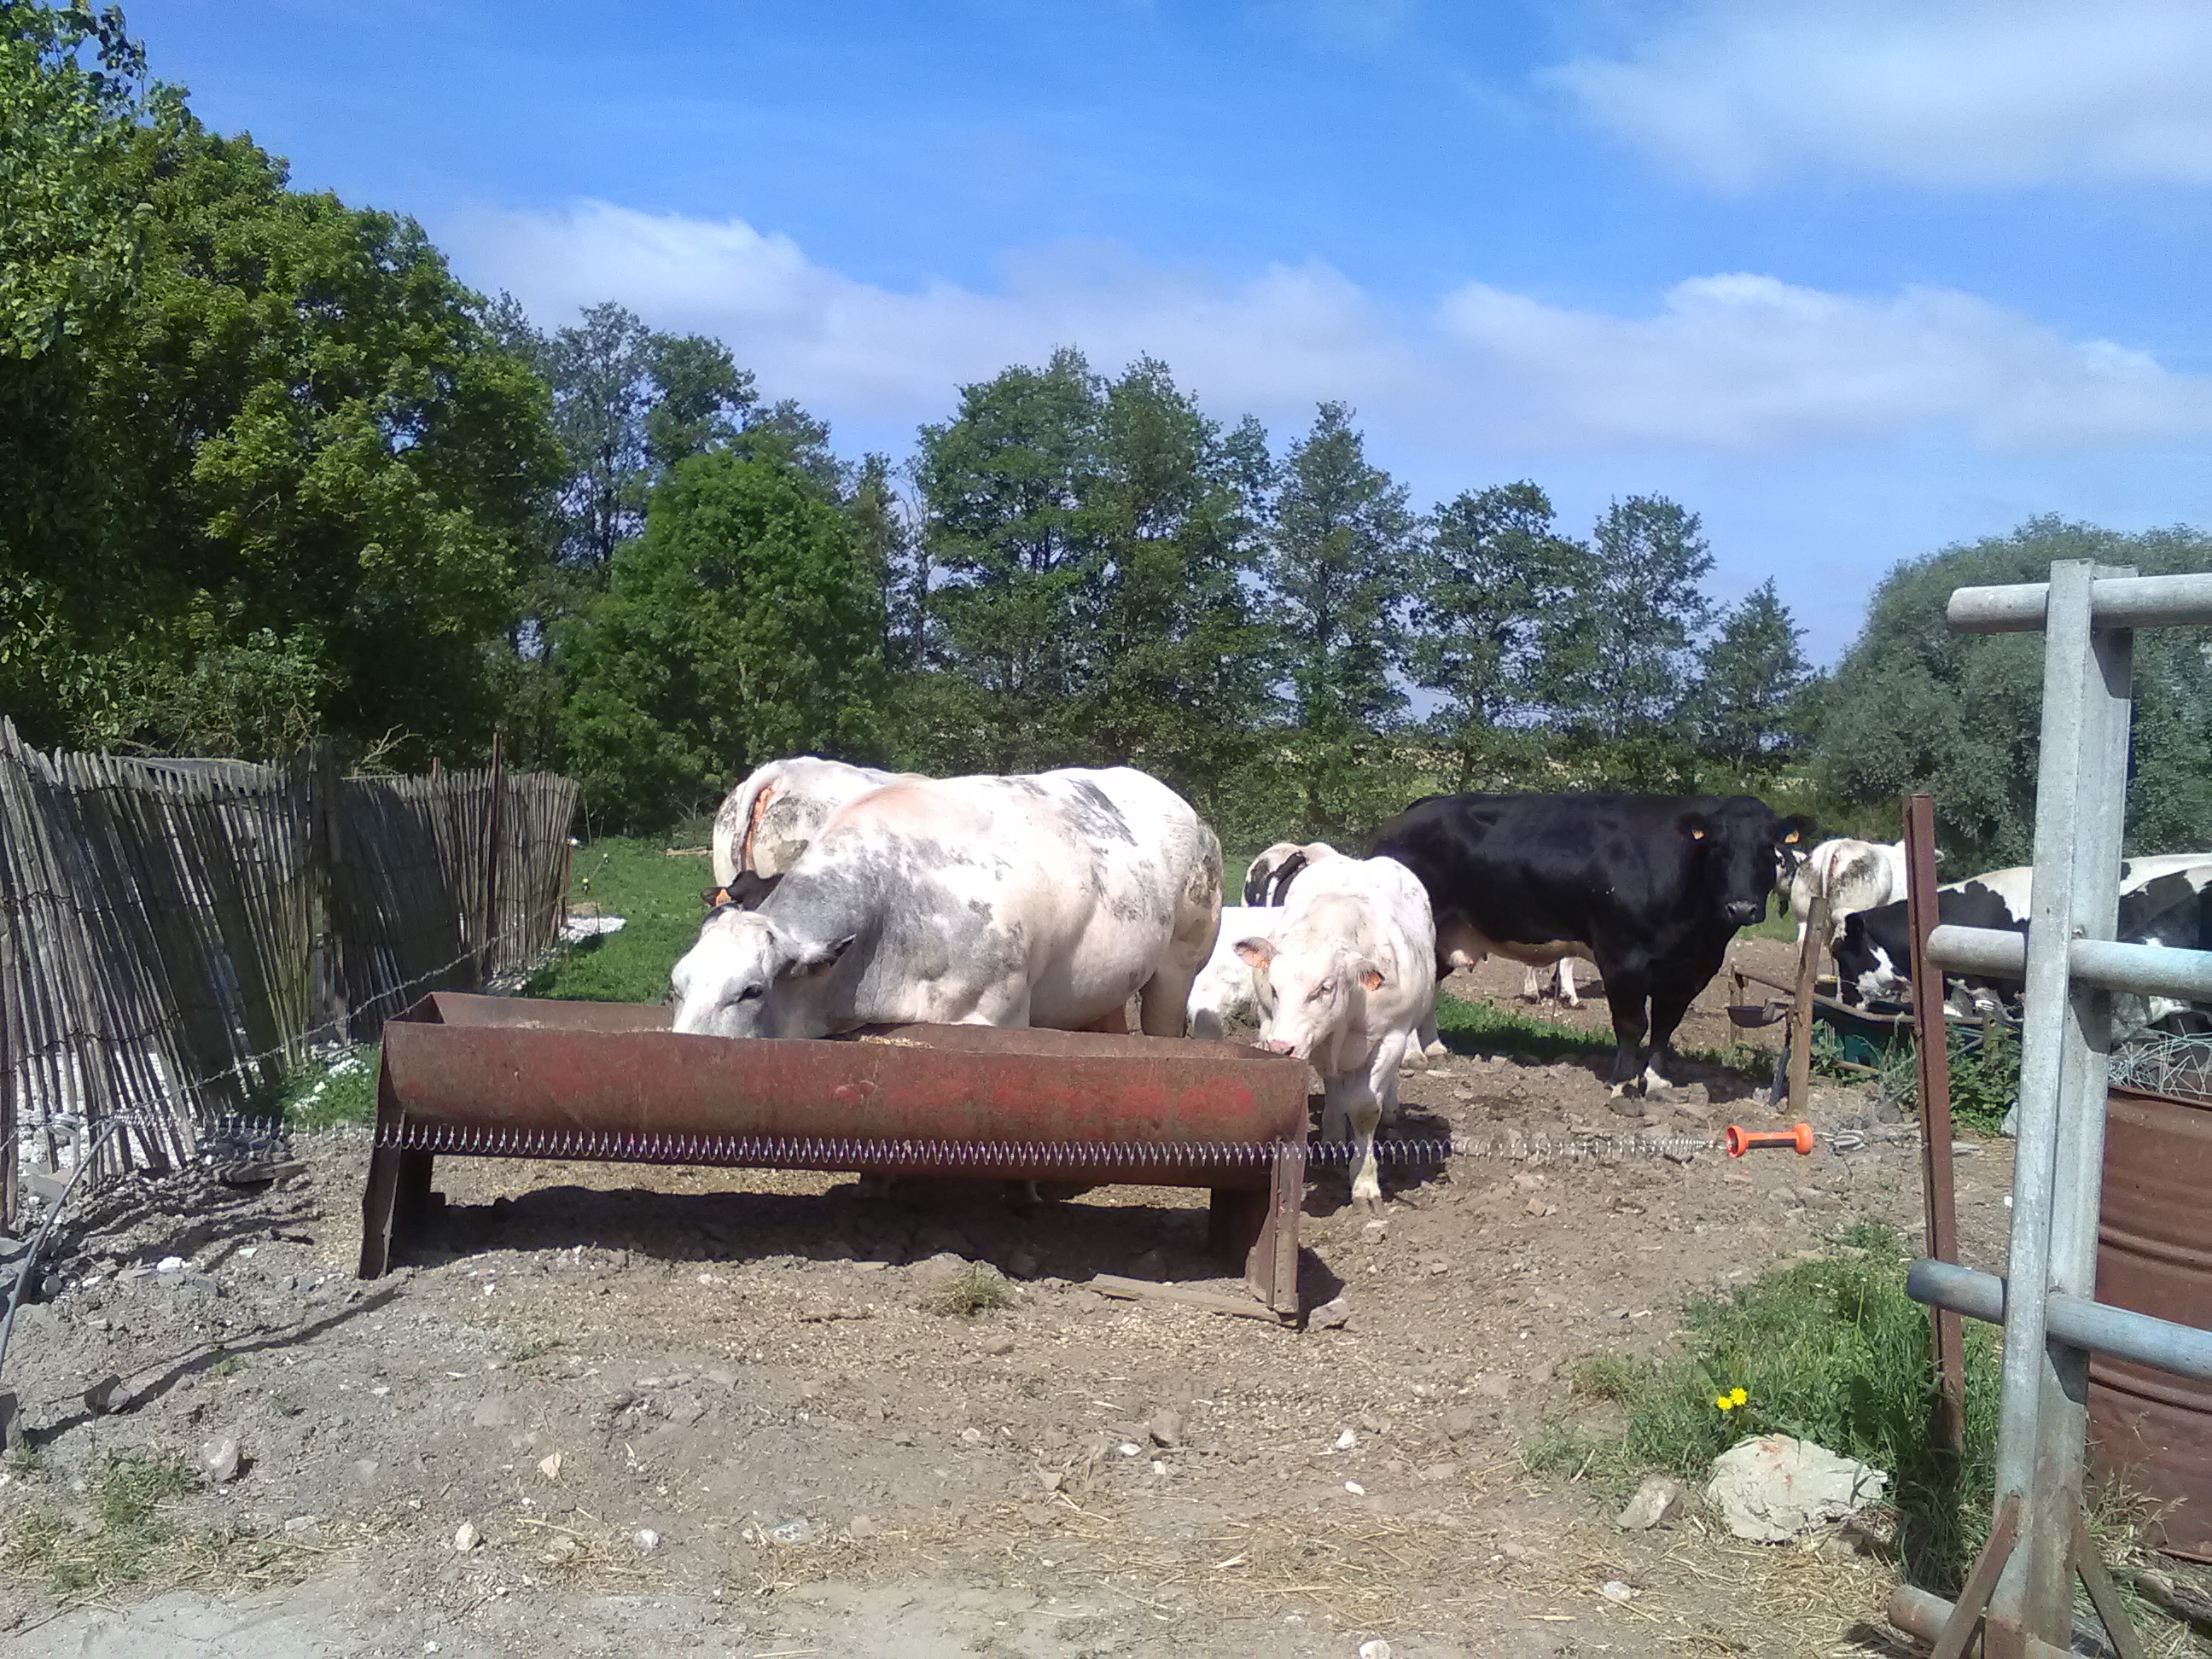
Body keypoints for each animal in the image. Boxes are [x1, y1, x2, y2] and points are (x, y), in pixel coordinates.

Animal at [1230, 849, 1433, 1212]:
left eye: (1325, 987)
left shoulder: (1391, 1037)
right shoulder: (1278, 1028)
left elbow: (1366, 1108)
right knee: (1334, 1082)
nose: (1282, 1047)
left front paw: (1365, 1184)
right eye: (1274, 987)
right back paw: (1334, 1136)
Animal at [1362, 791, 1813, 1106]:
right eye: (1717, 846)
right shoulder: (1622, 956)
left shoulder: (1694, 969)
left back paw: (1434, 1048)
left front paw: (1658, 1082)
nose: (1742, 906)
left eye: (1769, 849)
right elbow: (1632, 1023)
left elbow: (1666, 1026)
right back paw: (1414, 1056)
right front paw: (1622, 1083)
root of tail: (1410, 813)